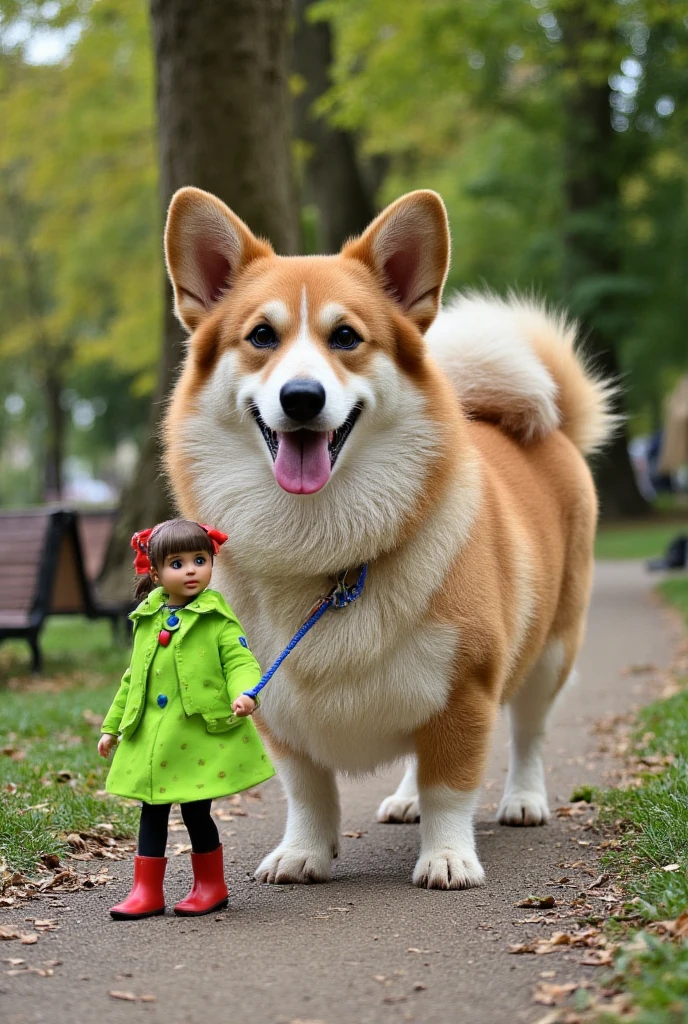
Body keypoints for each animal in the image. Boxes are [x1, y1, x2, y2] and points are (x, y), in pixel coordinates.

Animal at [163, 188, 614, 892]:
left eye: (346, 337)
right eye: (261, 336)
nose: (301, 396)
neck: (323, 545)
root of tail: (550, 424)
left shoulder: (466, 689)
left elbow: (451, 785)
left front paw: (448, 857)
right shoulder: (274, 707)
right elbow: (308, 792)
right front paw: (303, 853)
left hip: (551, 652)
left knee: (528, 734)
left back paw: (523, 799)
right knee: (414, 760)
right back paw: (405, 800)